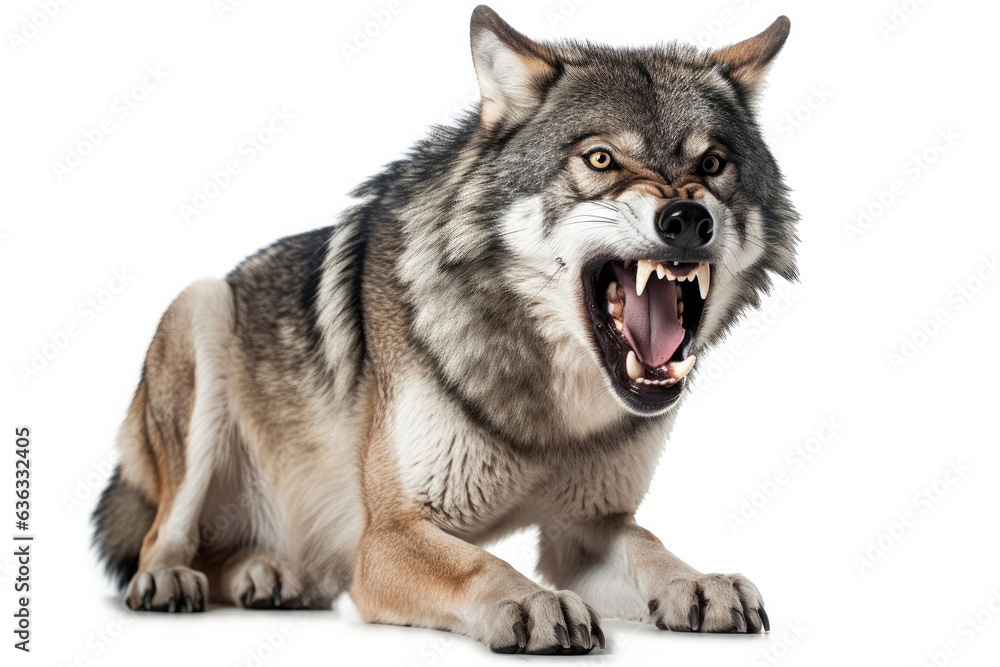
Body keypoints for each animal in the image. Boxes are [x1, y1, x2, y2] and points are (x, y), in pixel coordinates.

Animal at [92, 5, 798, 654]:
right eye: (601, 159)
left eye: (713, 164)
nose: (687, 220)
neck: (552, 414)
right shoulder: (387, 538)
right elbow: (480, 562)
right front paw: (533, 603)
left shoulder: (585, 527)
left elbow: (649, 543)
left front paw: (700, 581)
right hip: (200, 310)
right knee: (163, 538)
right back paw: (173, 580)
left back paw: (271, 576)